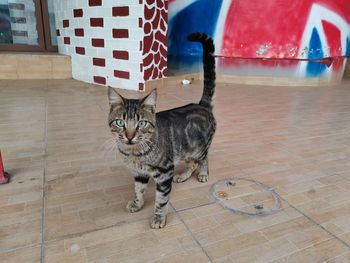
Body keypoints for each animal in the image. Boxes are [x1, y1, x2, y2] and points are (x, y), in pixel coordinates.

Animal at [108, 32, 216, 229]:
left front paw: (159, 218)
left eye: (141, 124)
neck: (134, 153)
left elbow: (161, 200)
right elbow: (139, 190)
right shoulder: (140, 173)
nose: (129, 136)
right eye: (120, 122)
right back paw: (184, 175)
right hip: (184, 149)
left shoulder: (165, 173)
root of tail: (201, 105)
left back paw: (203, 173)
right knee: (192, 163)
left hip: (199, 148)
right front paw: (137, 204)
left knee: (203, 159)